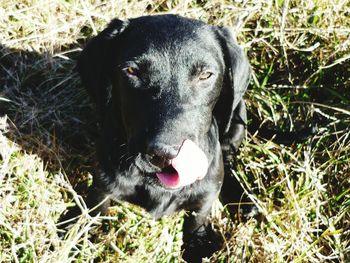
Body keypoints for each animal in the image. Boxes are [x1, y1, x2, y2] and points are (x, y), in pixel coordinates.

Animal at [77, 14, 252, 263]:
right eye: (131, 70)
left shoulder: (204, 198)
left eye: (205, 75)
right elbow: (94, 211)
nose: (165, 155)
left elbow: (197, 219)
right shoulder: (102, 184)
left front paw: (198, 243)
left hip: (237, 117)